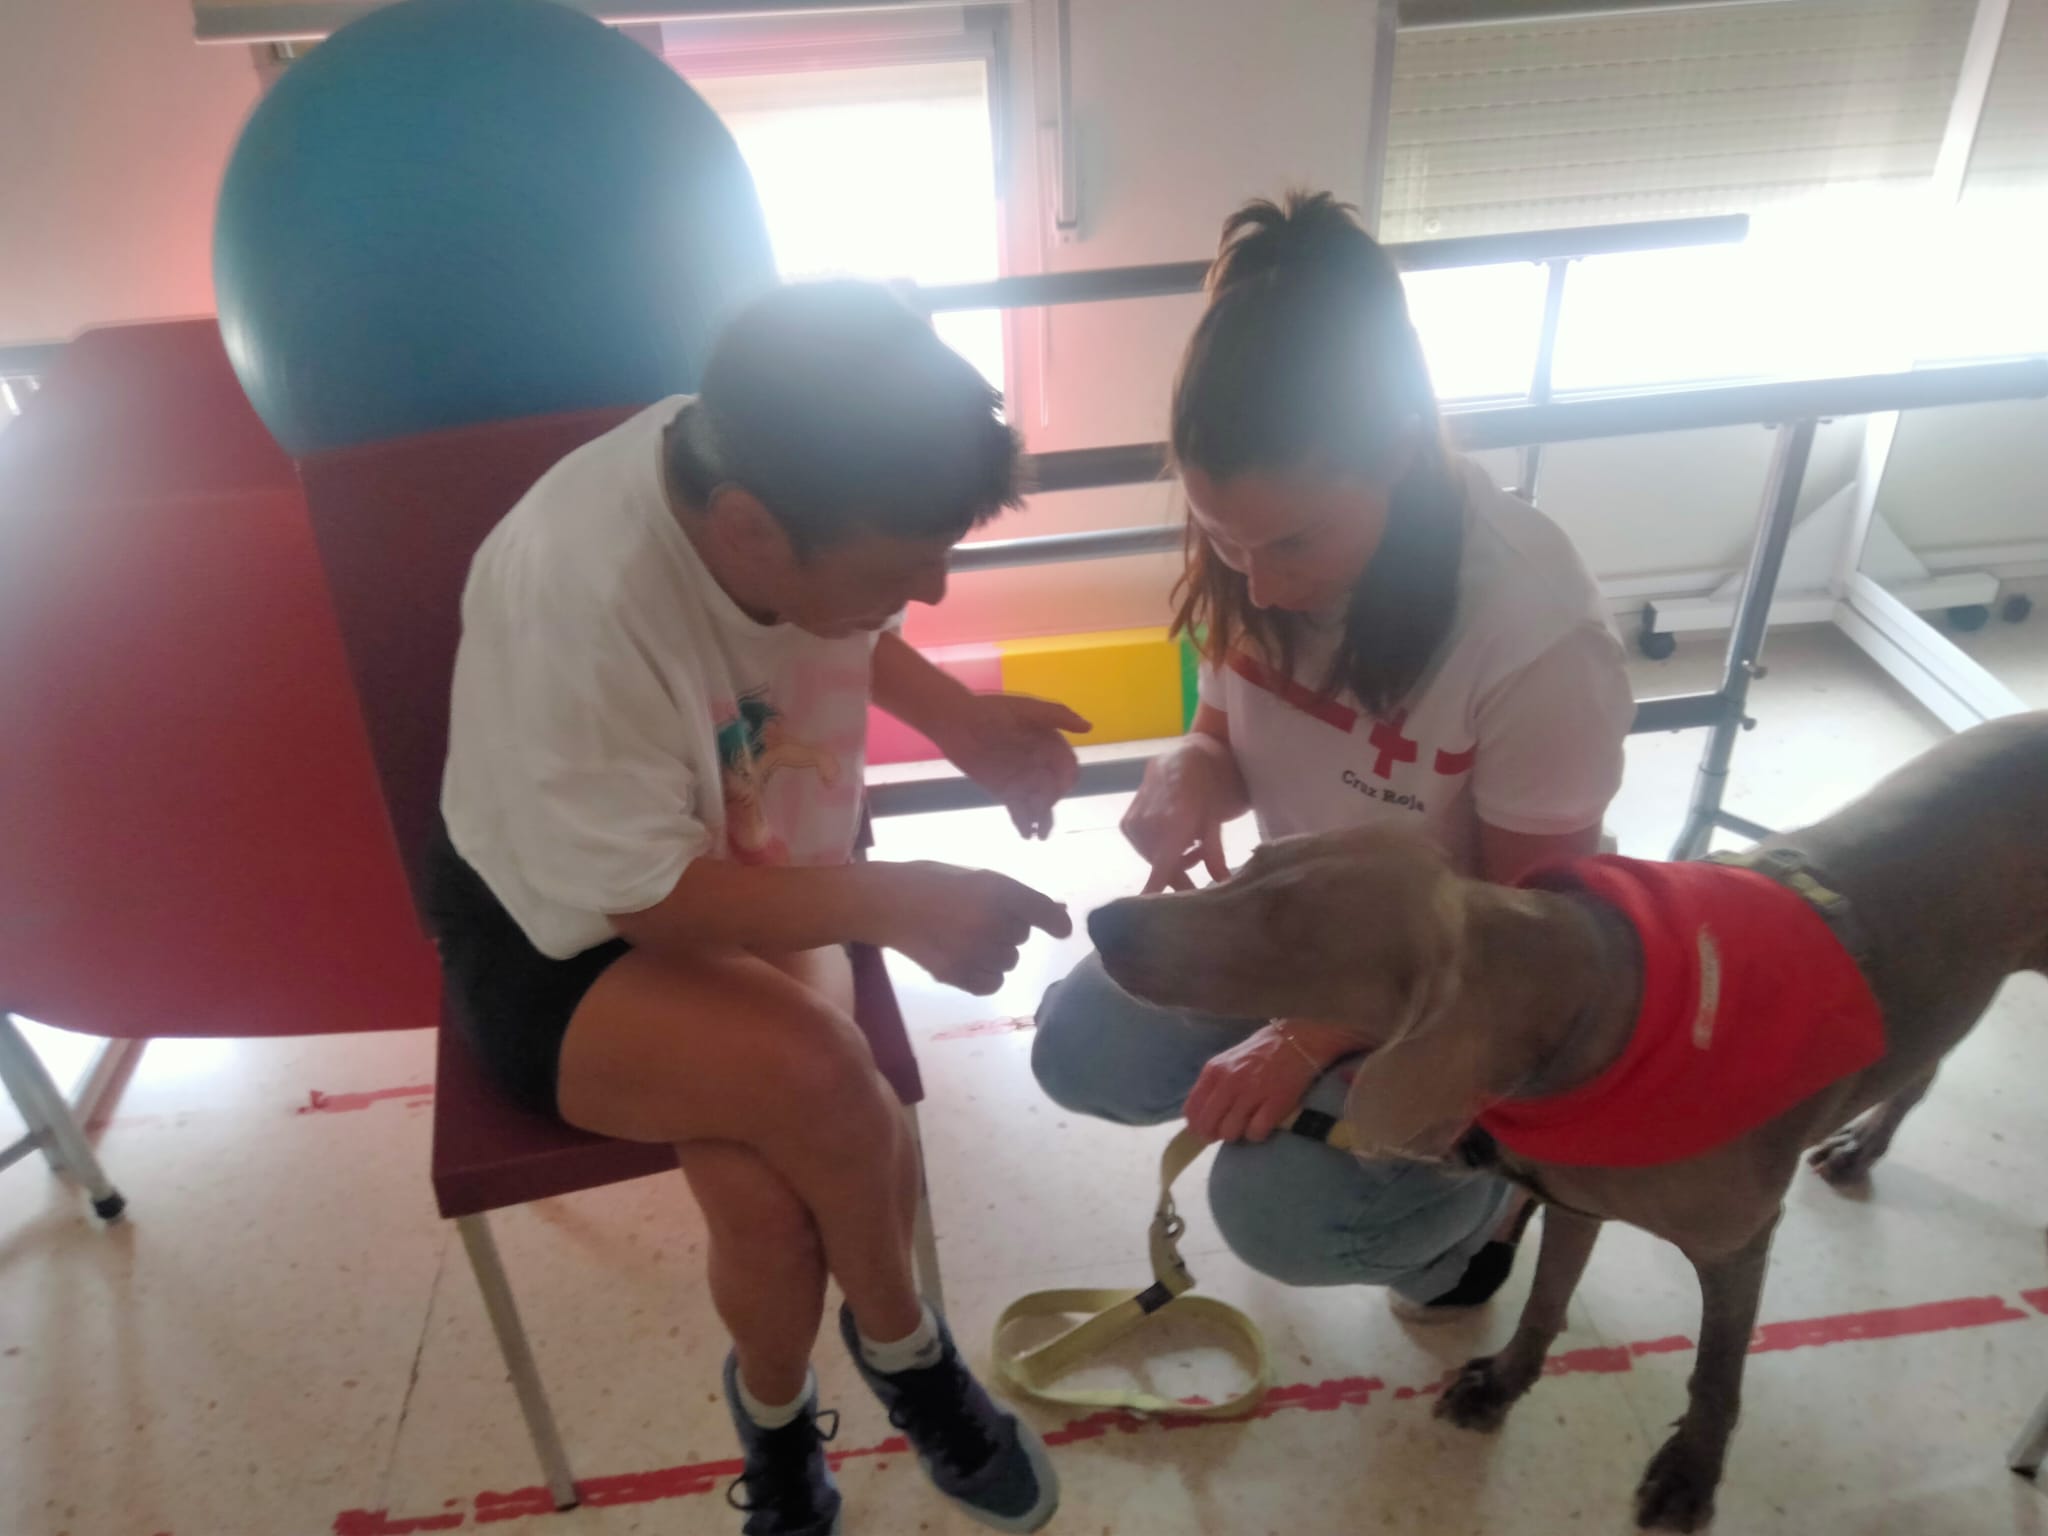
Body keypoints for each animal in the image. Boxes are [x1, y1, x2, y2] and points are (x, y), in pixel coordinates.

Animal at [1089, 716, 2048, 1531]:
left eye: (1287, 927)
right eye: (1251, 859)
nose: (1102, 920)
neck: (1604, 1024)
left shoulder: (1738, 1243)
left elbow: (1717, 1371)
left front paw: (1690, 1475)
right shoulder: (1575, 1197)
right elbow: (1546, 1301)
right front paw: (1502, 1386)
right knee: (1928, 1061)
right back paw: (1862, 1146)